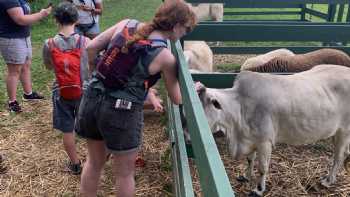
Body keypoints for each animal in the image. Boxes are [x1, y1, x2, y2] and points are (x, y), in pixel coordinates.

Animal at [196, 64, 350, 195]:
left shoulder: (265, 141)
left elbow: (262, 168)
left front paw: (259, 189)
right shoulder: (250, 138)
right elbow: (250, 160)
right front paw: (246, 176)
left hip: (344, 131)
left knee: (338, 157)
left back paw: (328, 180)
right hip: (337, 133)